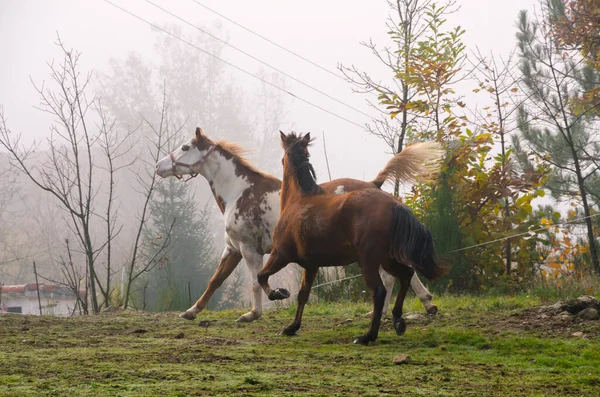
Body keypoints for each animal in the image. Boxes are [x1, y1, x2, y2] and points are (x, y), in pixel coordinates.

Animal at [155, 127, 438, 322]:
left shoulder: (250, 249)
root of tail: (374, 185)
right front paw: (191, 311)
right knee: (398, 275)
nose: (159, 166)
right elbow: (215, 281)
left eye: (185, 147)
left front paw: (254, 313)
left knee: (395, 276)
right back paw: (414, 305)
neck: (240, 191)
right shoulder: (233, 249)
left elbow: (255, 281)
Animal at [255, 132, 442, 344]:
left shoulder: (280, 255)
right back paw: (398, 321)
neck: (299, 199)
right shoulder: (311, 266)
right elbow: (303, 294)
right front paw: (292, 327)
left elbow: (261, 276)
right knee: (406, 275)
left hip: (368, 261)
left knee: (380, 291)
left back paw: (367, 336)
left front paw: (278, 293)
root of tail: (394, 205)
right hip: (387, 259)